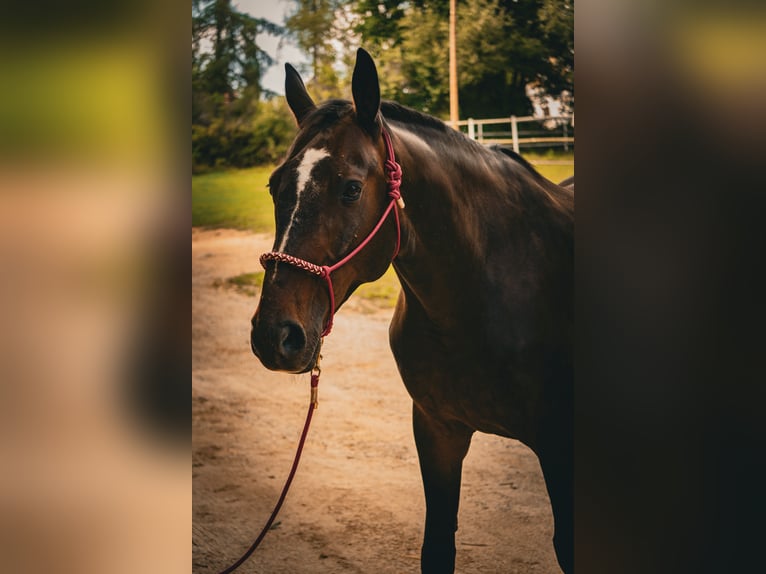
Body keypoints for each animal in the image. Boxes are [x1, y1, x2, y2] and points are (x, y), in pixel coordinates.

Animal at [250, 48, 573, 573]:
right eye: (275, 186)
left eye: (351, 188)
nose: (274, 336)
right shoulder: (437, 431)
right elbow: (437, 546)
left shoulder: (562, 451)